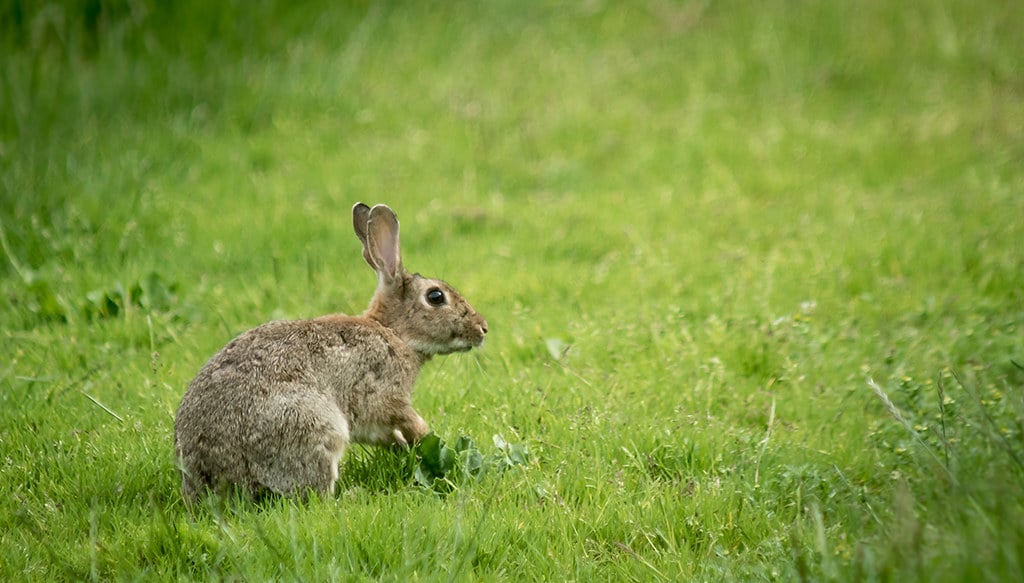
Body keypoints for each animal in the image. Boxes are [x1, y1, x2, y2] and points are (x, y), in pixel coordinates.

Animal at [173, 203, 488, 502]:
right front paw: (427, 436)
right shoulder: (383, 394)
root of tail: (208, 477)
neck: (393, 333)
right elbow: (406, 417)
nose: (483, 328)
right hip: (318, 427)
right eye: (436, 297)